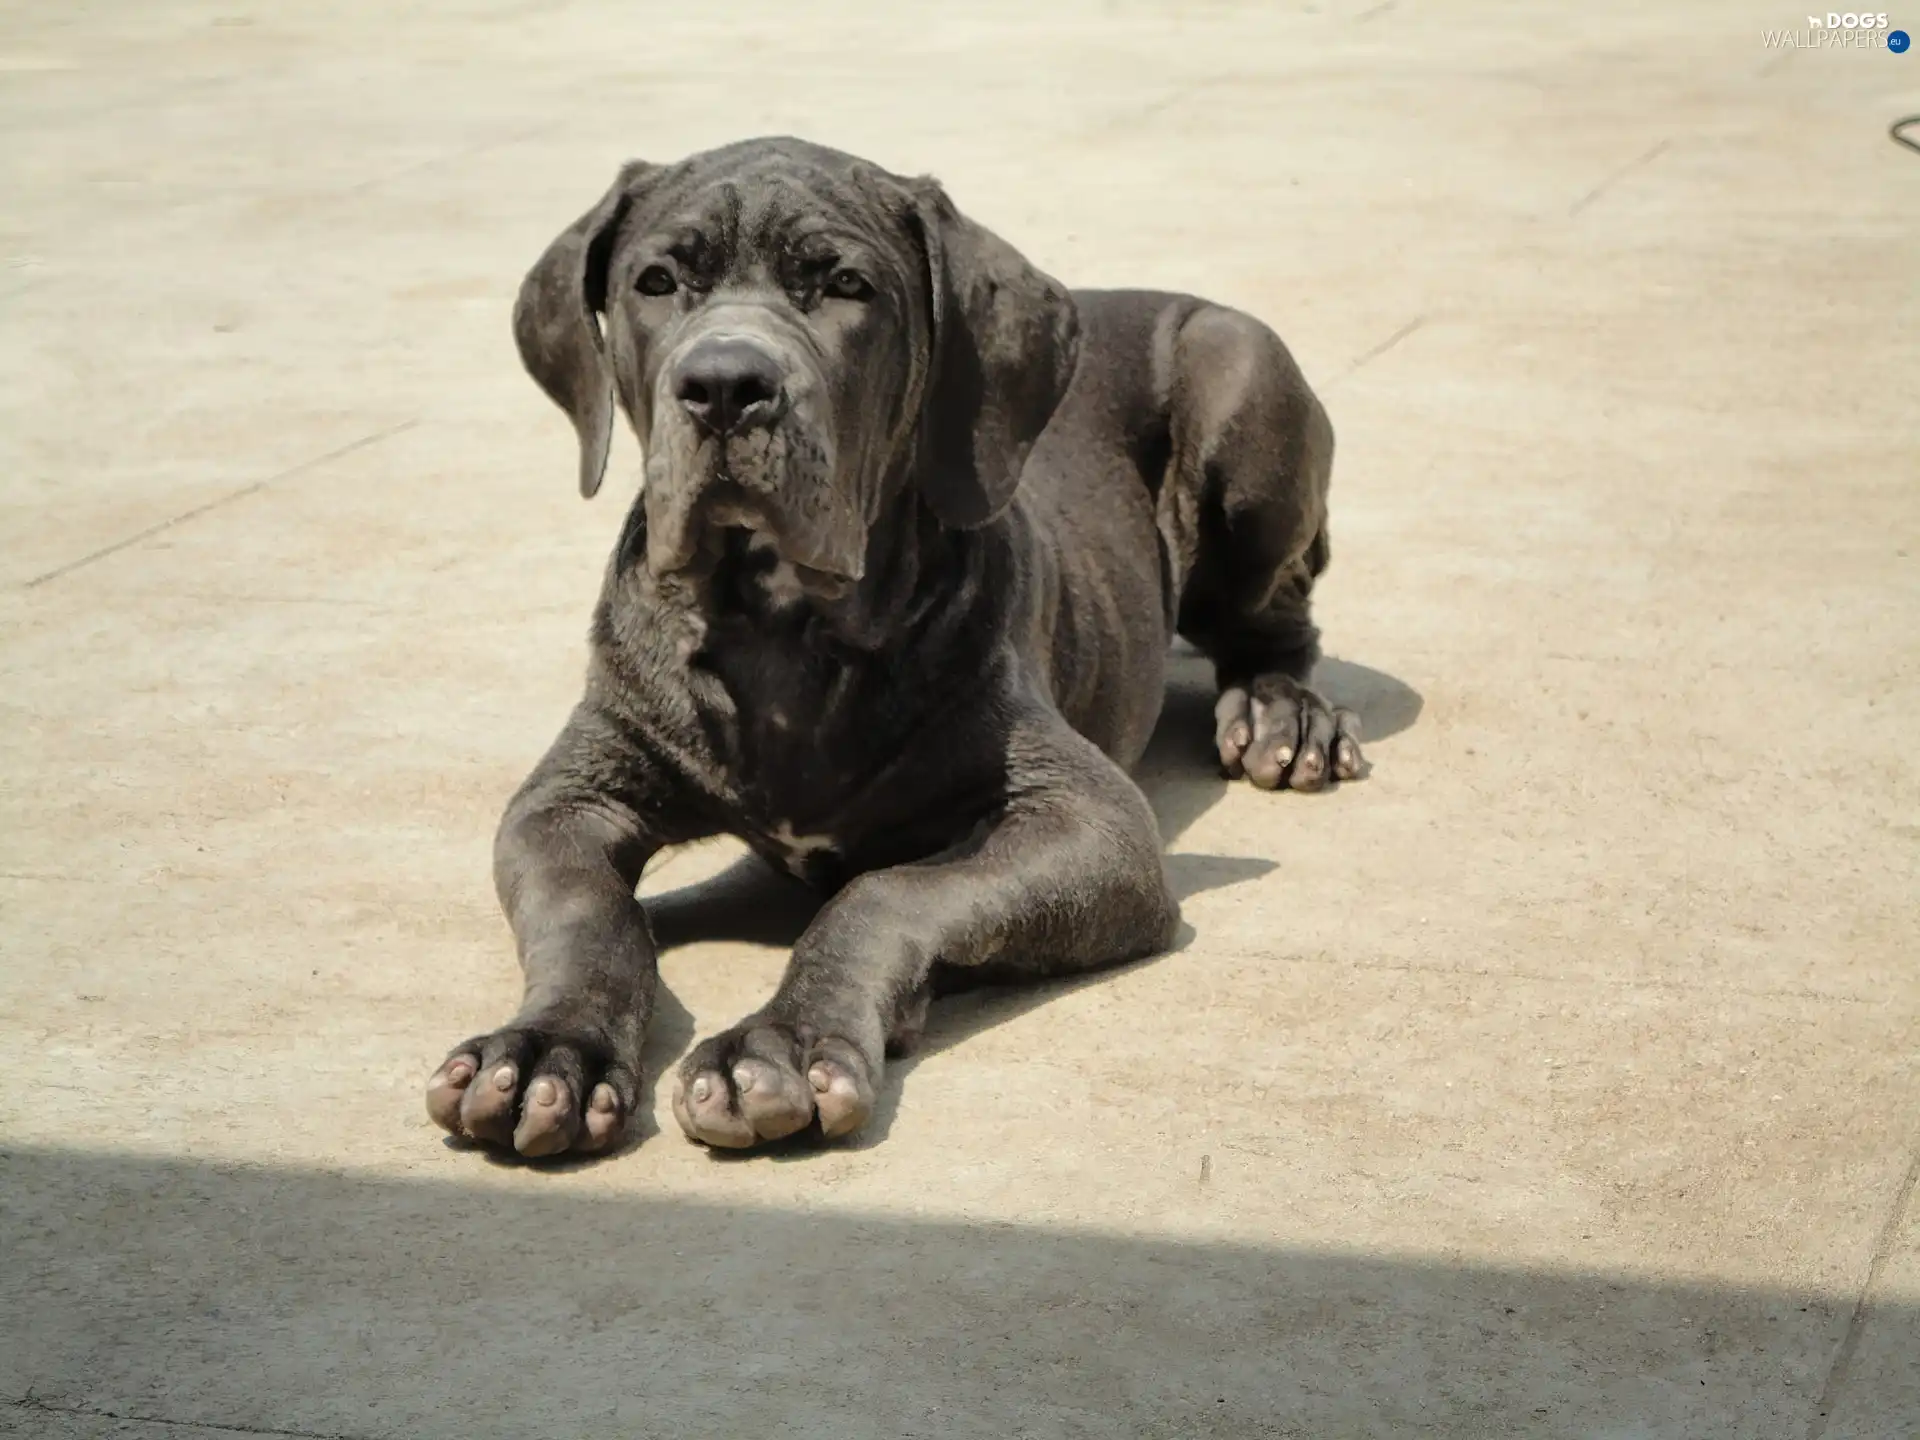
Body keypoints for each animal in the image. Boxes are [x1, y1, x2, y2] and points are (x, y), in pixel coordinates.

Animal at [424, 138, 1367, 1159]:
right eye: (657, 281)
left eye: (846, 284)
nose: (724, 385)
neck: (779, 626)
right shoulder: (570, 796)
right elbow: (584, 911)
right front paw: (550, 1048)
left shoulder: (1090, 819)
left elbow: (886, 892)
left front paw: (782, 1044)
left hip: (1241, 380)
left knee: (1278, 624)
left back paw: (1282, 715)